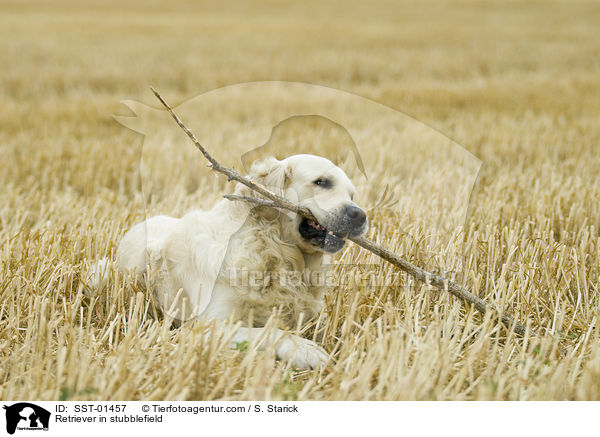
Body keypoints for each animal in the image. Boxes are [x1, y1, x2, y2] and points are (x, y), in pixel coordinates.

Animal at [105, 154, 366, 368]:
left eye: (352, 195)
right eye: (321, 182)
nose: (360, 215)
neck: (273, 250)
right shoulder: (205, 325)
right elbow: (268, 330)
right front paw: (304, 351)